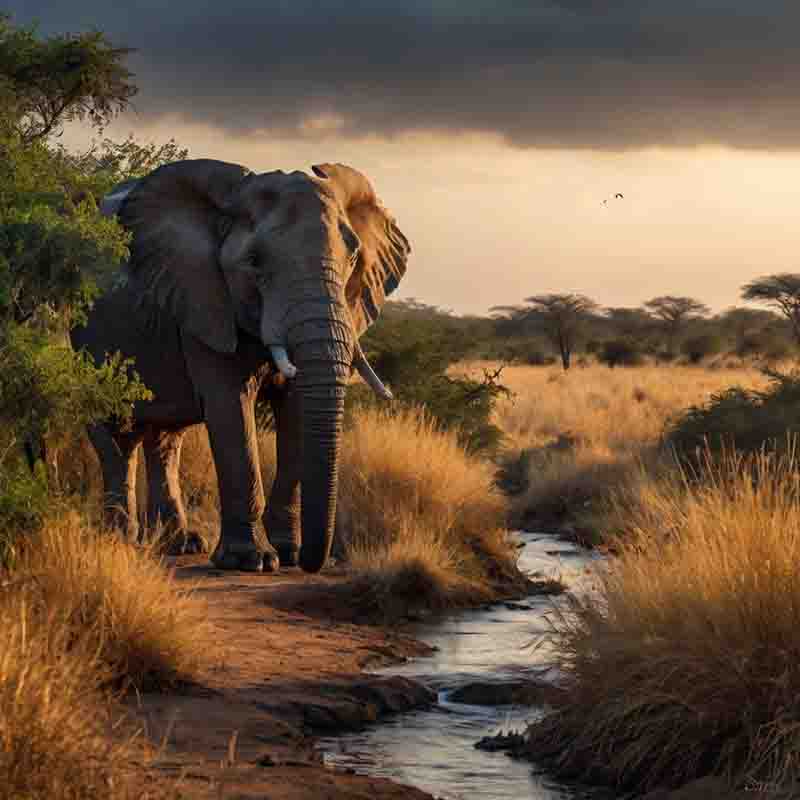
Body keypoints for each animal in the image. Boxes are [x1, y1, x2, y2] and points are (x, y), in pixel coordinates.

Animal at [71, 159, 410, 573]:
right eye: (253, 263)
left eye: (353, 257)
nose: (316, 562)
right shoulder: (205, 301)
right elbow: (231, 409)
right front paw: (253, 561)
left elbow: (297, 410)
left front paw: (289, 554)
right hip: (87, 336)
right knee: (112, 433)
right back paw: (120, 539)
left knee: (163, 438)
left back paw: (180, 544)